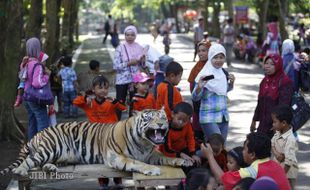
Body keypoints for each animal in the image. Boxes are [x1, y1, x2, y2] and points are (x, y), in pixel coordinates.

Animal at [1, 108, 193, 177]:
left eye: (162, 117)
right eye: (150, 118)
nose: (161, 124)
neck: (144, 143)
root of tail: (38, 133)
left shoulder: (151, 154)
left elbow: (166, 157)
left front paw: (183, 160)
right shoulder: (117, 156)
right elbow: (137, 163)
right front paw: (152, 170)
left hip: (58, 154)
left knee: (42, 163)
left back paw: (50, 168)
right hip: (50, 147)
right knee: (30, 160)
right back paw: (20, 171)